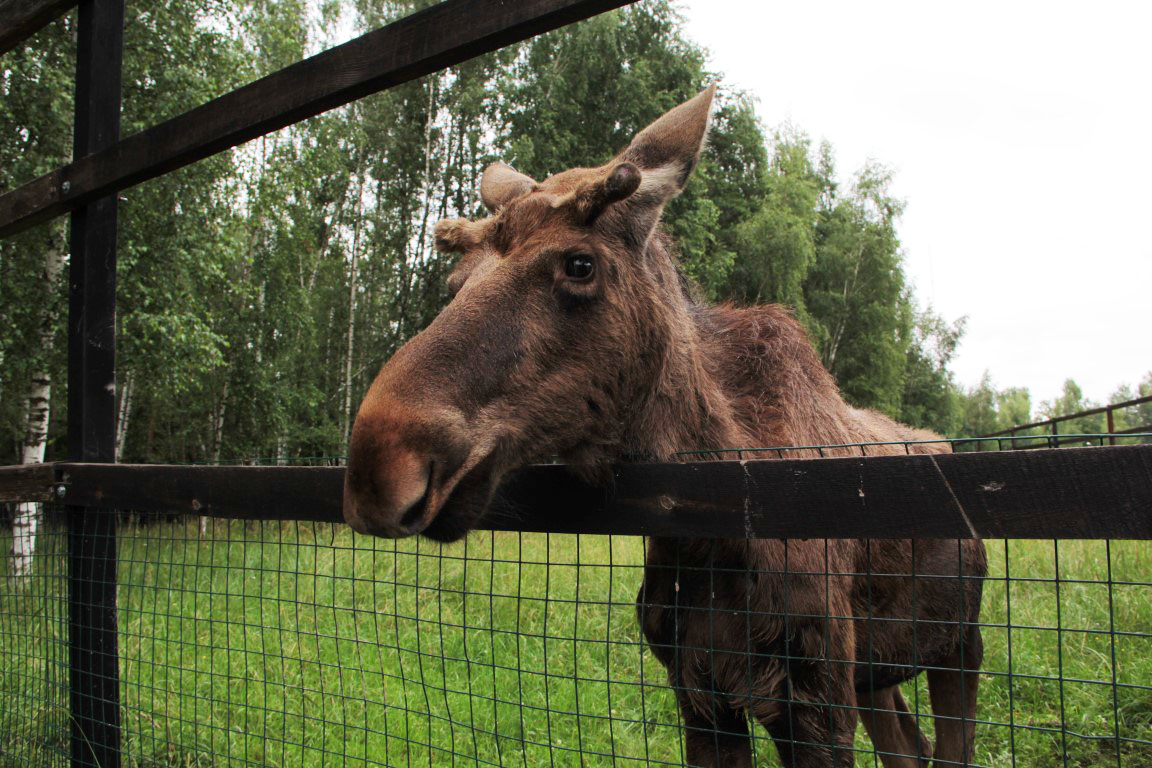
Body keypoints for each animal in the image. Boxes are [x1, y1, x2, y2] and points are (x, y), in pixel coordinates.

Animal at [343, 86, 990, 764]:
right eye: (455, 281)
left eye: (580, 264)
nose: (378, 467)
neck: (711, 534)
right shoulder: (700, 696)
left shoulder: (816, 704)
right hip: (879, 675)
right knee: (909, 744)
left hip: (960, 644)